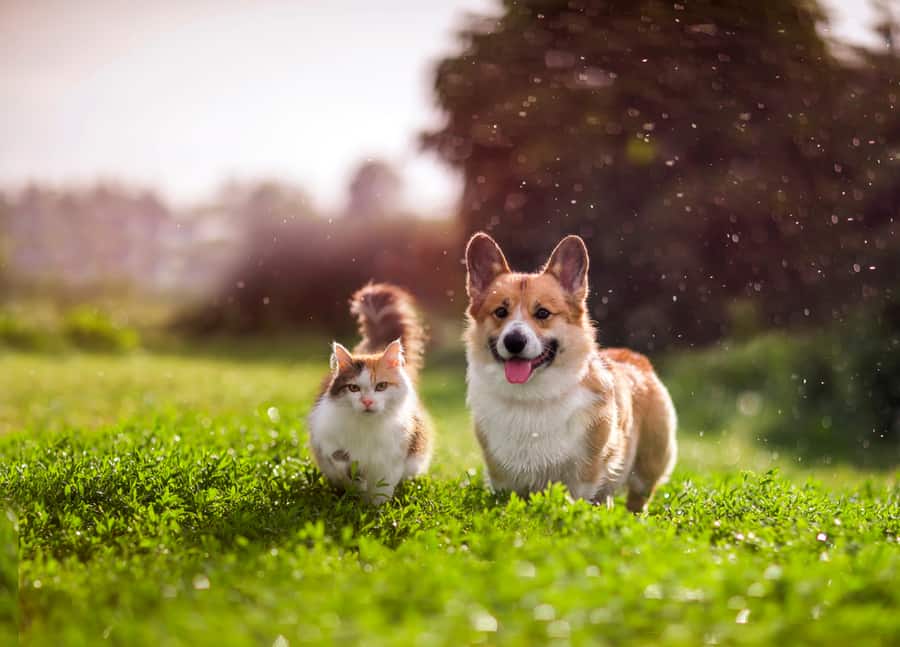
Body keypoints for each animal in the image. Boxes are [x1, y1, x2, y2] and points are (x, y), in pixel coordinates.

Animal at [310, 284, 432, 506]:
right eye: (353, 388)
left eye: (381, 386)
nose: (367, 401)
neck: (367, 427)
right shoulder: (325, 438)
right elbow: (341, 461)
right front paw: (356, 487)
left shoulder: (392, 457)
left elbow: (381, 489)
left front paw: (374, 509)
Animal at [464, 233, 676, 512]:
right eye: (500, 312)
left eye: (543, 313)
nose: (514, 341)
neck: (531, 398)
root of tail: (635, 357)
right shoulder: (502, 477)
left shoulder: (584, 474)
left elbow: (577, 499)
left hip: (648, 466)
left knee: (637, 499)